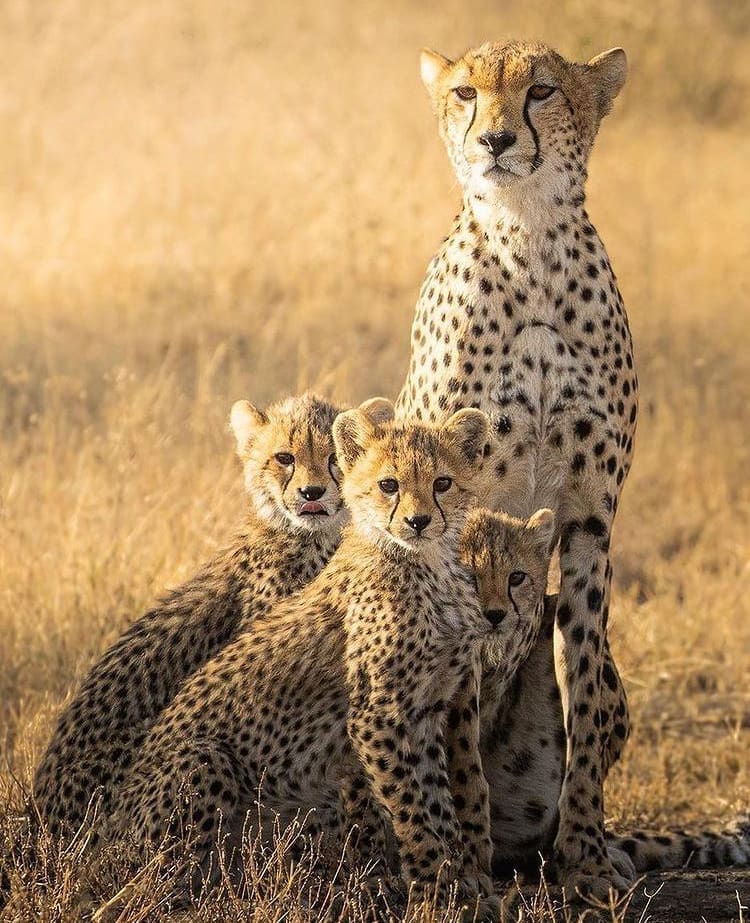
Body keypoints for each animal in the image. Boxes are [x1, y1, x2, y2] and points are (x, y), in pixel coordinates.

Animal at [396, 41, 636, 896]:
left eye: (541, 92)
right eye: (467, 92)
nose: (496, 140)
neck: (528, 239)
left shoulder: (592, 518)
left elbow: (585, 690)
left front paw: (588, 858)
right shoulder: (455, 519)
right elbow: (459, 721)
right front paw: (462, 864)